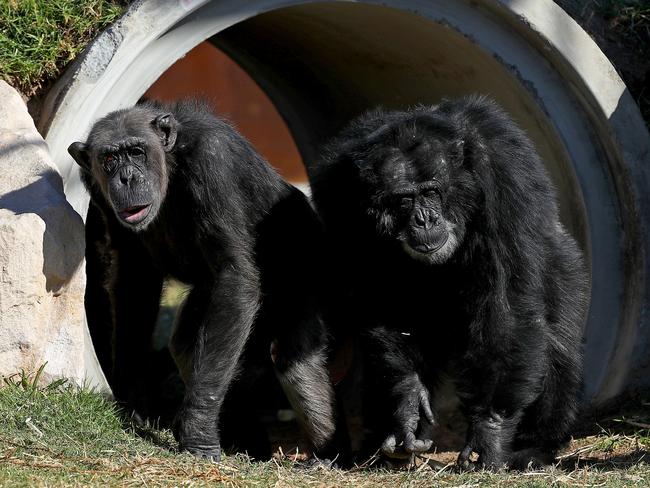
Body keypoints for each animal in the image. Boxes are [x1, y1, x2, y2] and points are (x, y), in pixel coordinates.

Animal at [308, 94, 588, 468]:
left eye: (431, 192)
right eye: (404, 199)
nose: (424, 219)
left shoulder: (503, 171)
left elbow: (507, 304)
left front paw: (490, 432)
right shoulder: (339, 195)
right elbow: (382, 296)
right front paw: (408, 400)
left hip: (566, 267)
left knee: (554, 337)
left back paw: (534, 447)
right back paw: (380, 446)